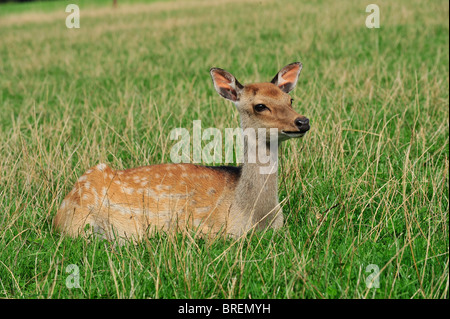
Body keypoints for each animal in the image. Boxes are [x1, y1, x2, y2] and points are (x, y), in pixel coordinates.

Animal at [53, 62, 310, 242]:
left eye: (290, 99)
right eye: (260, 106)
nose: (303, 121)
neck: (254, 216)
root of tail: (58, 214)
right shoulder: (200, 228)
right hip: (81, 223)